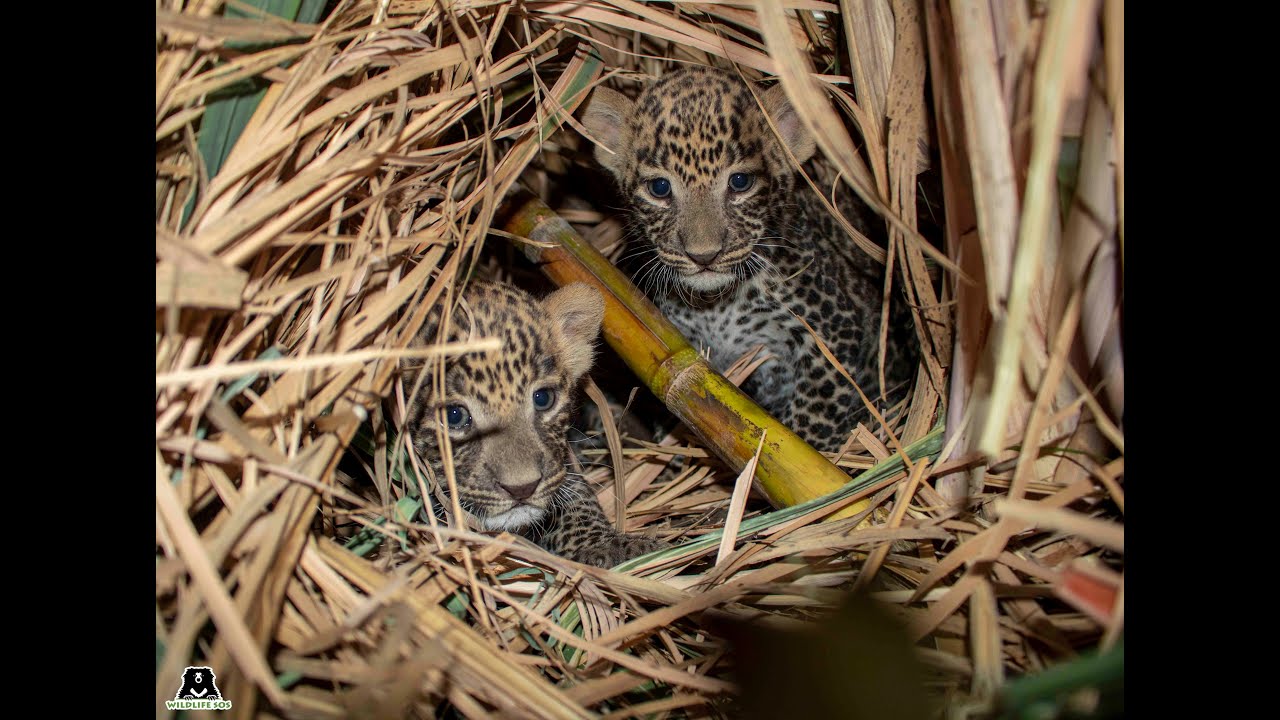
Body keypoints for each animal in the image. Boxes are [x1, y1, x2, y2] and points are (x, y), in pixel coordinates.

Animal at [581, 66, 918, 454]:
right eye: (660, 189)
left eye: (740, 182)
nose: (704, 255)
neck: (716, 305)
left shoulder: (832, 334)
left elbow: (815, 418)